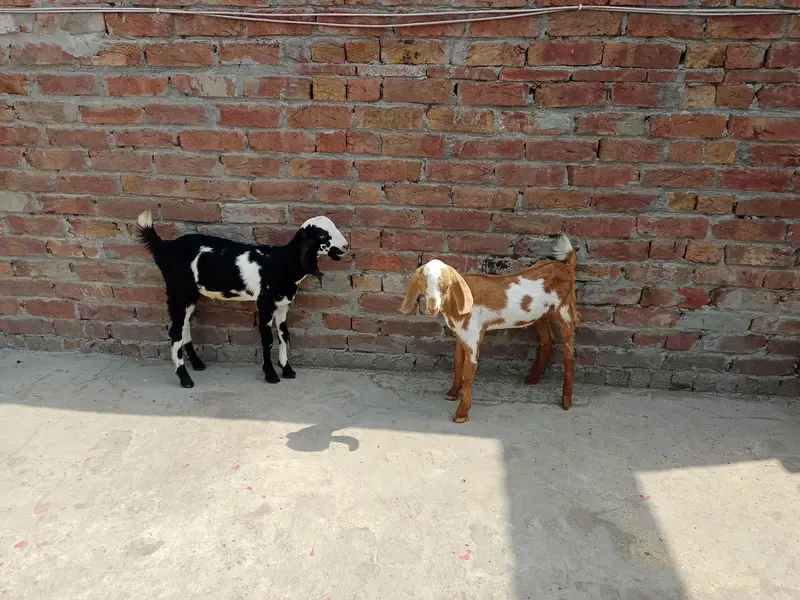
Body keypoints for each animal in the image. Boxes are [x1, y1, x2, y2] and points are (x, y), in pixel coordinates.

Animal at [136, 210, 348, 389]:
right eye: (321, 234)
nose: (345, 246)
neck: (282, 262)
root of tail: (165, 247)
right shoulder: (265, 303)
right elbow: (267, 339)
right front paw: (271, 374)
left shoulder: (282, 305)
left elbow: (283, 335)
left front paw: (287, 370)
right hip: (178, 291)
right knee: (175, 332)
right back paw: (185, 378)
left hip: (189, 295)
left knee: (184, 325)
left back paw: (197, 363)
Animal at [399, 234, 579, 422]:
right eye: (423, 284)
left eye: (446, 286)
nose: (432, 309)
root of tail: (567, 267)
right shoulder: (461, 333)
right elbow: (457, 361)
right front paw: (452, 392)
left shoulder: (473, 333)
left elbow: (468, 370)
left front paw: (462, 413)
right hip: (540, 315)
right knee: (547, 340)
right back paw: (532, 377)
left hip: (565, 311)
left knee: (568, 354)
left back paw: (566, 400)